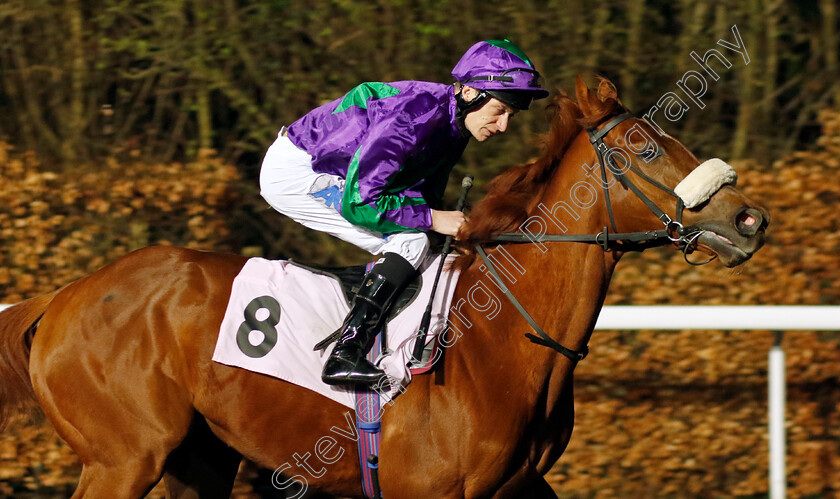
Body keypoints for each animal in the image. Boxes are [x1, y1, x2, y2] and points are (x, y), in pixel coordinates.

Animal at [0, 76, 768, 498]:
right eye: (645, 146)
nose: (749, 219)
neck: (500, 342)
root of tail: (63, 294)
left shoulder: (518, 487)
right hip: (124, 457)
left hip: (201, 459)